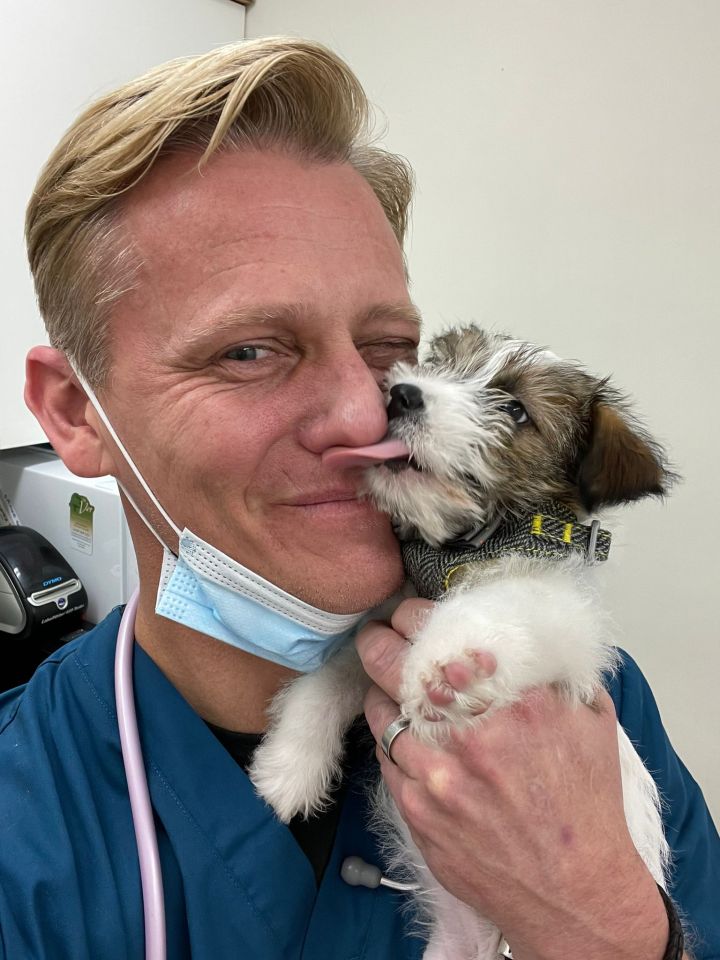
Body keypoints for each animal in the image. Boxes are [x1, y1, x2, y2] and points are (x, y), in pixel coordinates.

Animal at [249, 326, 676, 956]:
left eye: (516, 410)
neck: (460, 552)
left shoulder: (564, 616)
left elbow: (499, 602)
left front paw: (447, 668)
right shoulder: (375, 630)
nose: (401, 394)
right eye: (438, 362)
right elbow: (326, 685)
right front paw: (286, 770)